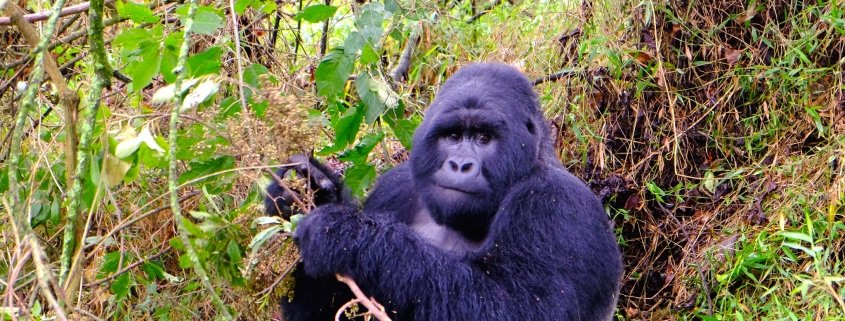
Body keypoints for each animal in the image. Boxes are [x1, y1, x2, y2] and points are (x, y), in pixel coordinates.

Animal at [268, 62, 624, 320]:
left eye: (483, 138)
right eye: (453, 136)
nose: (460, 164)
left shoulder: (557, 205)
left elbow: (522, 309)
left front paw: (347, 236)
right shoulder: (395, 187)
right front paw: (310, 193)